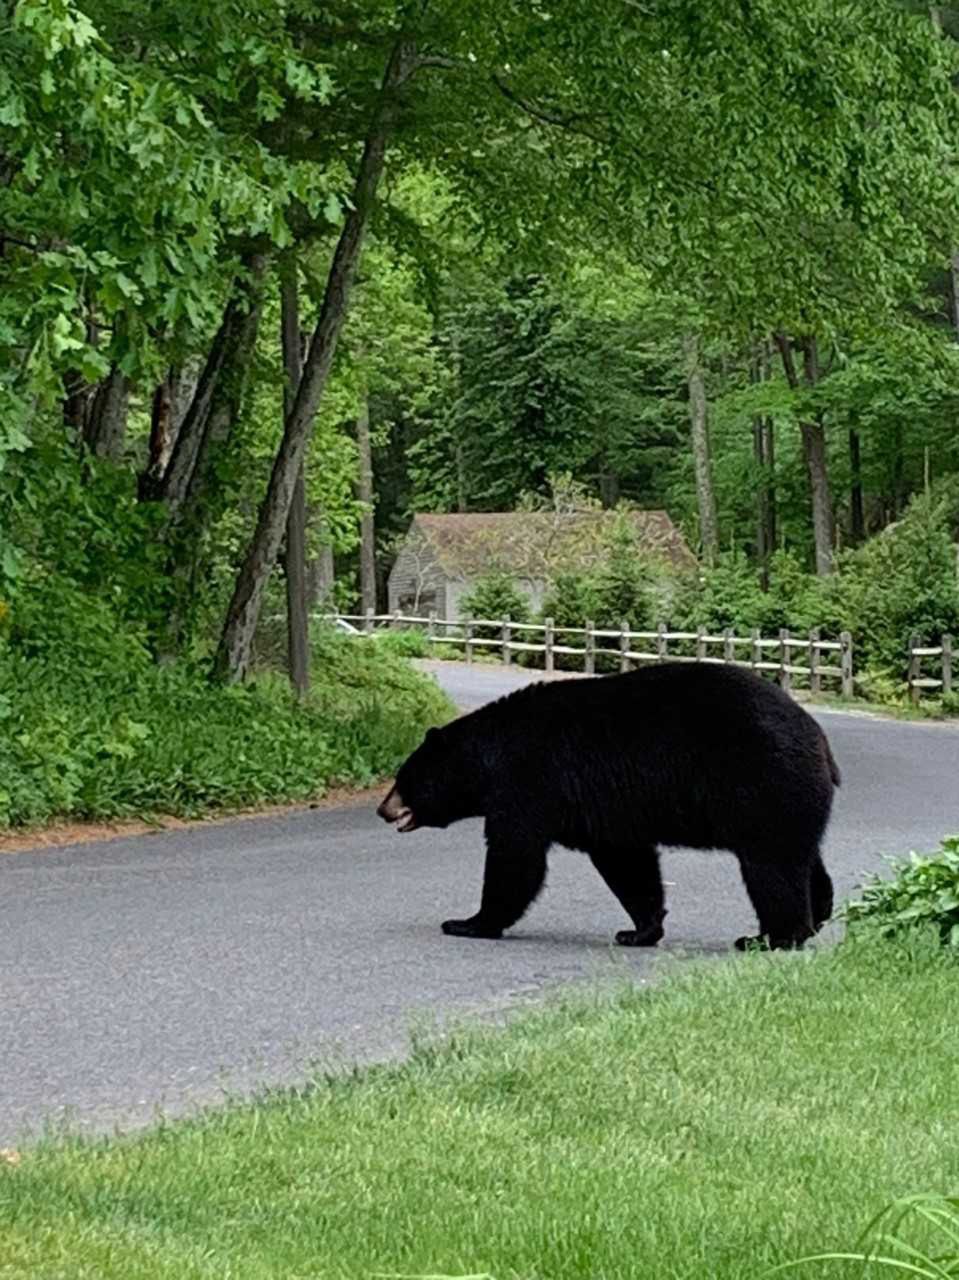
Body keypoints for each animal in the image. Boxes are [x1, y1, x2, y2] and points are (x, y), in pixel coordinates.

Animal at [373, 660, 839, 952]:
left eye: (402, 778)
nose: (382, 809)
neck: (489, 758)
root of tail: (819, 738)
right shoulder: (603, 810)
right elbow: (626, 862)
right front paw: (640, 930)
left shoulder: (528, 782)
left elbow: (515, 856)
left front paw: (469, 922)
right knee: (801, 857)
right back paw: (818, 915)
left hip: (762, 783)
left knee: (770, 866)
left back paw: (772, 937)